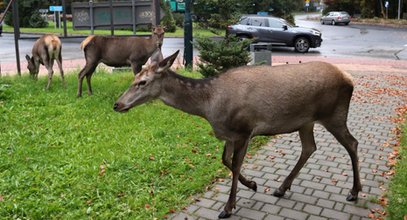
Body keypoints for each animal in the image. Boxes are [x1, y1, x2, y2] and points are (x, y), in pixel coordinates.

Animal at [113, 51, 362, 218]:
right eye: (133, 78)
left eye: (142, 82)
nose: (117, 104)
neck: (209, 106)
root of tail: (349, 78)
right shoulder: (229, 134)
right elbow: (225, 160)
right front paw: (252, 184)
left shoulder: (244, 130)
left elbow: (234, 164)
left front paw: (228, 207)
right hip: (306, 121)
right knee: (309, 147)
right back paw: (281, 188)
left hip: (334, 114)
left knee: (352, 143)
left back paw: (354, 191)